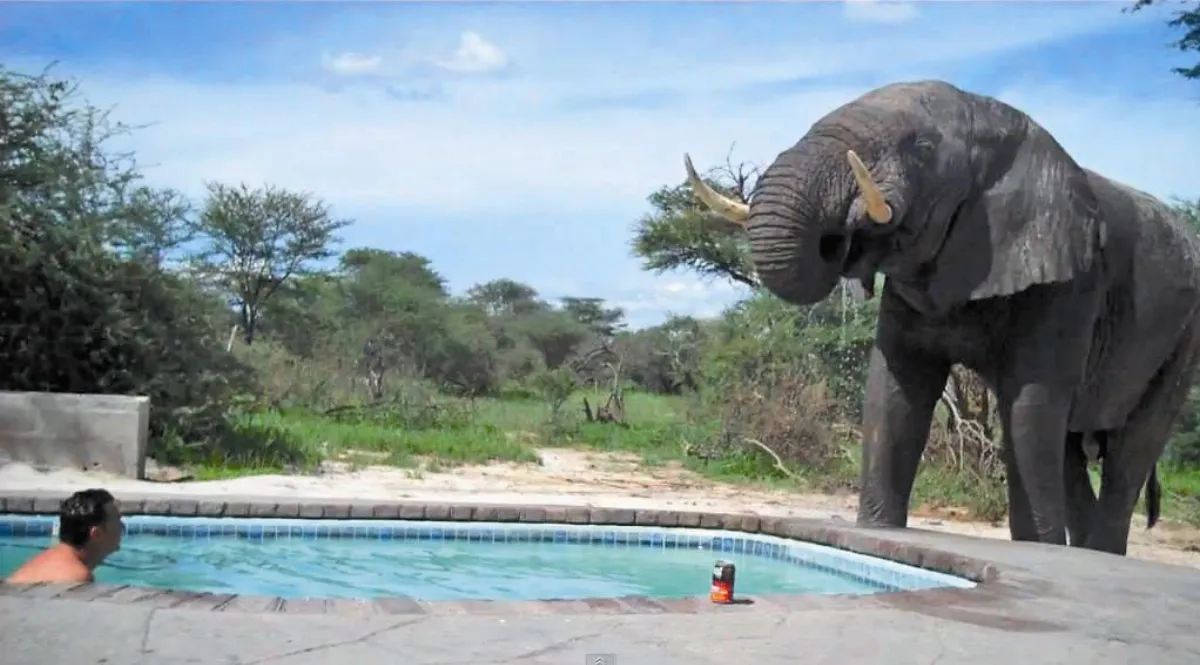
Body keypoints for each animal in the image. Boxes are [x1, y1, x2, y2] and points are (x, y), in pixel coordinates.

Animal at [683, 79, 1200, 555]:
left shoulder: (1069, 281)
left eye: (923, 148)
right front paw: (878, 531)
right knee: (1072, 450)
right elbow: (896, 389)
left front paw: (1039, 551)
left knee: (1131, 448)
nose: (843, 234)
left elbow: (1031, 403)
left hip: (1184, 339)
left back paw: (1095, 553)